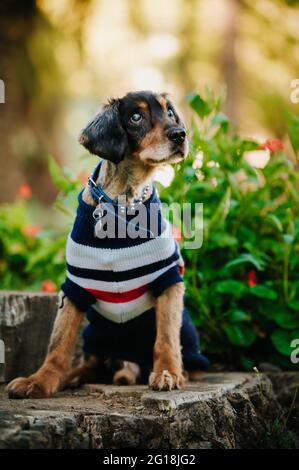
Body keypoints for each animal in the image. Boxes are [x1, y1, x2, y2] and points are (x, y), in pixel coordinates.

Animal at [6, 90, 209, 398]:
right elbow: (58, 343)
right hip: (94, 334)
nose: (180, 135)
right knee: (92, 364)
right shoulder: (74, 287)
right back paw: (73, 376)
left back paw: (177, 373)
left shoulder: (168, 279)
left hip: (187, 331)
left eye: (169, 113)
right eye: (136, 117)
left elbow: (166, 337)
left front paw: (167, 373)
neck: (122, 202)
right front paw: (39, 381)